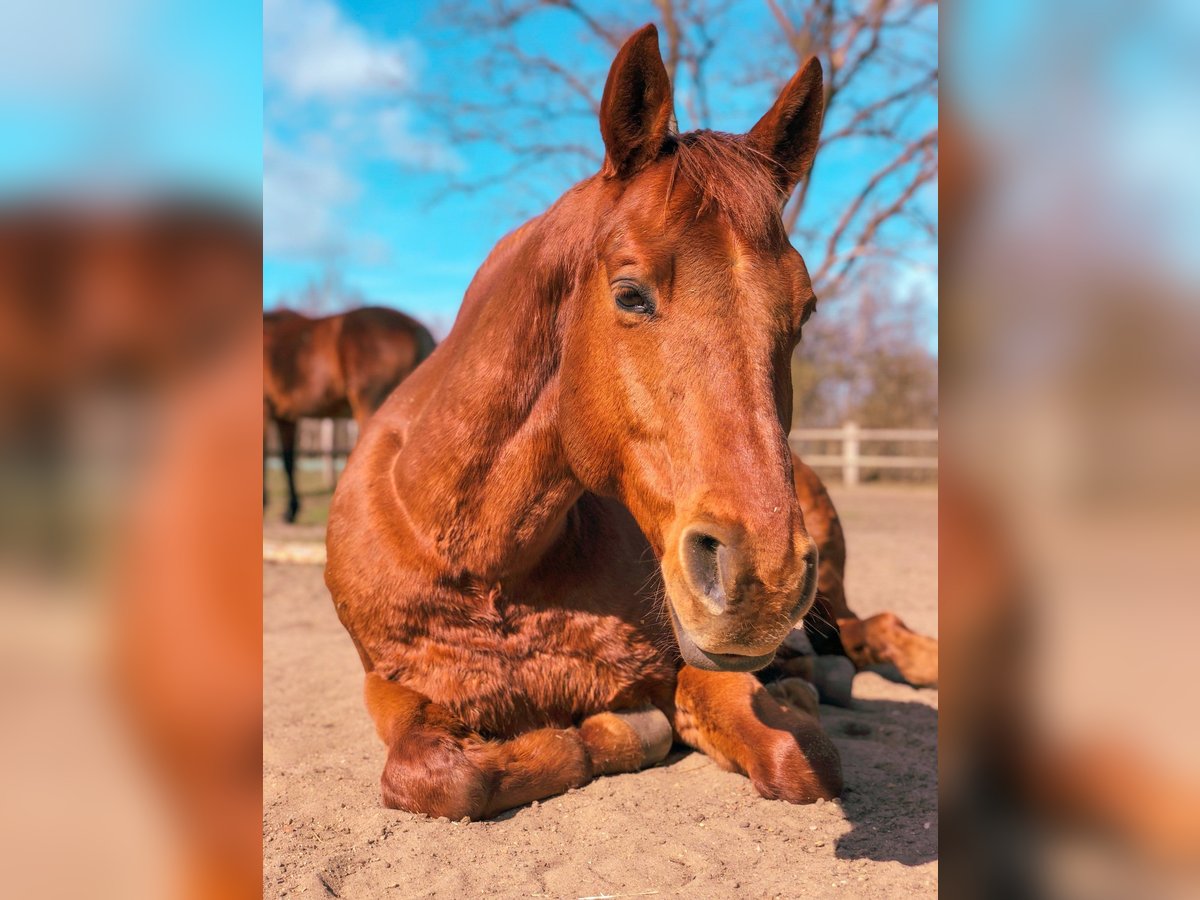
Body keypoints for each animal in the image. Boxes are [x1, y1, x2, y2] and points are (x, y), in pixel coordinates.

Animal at [326, 26, 926, 825]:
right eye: (630, 294)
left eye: (805, 312)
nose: (760, 578)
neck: (480, 559)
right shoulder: (391, 685)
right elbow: (441, 774)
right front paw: (610, 734)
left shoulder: (693, 663)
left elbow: (802, 761)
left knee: (870, 632)